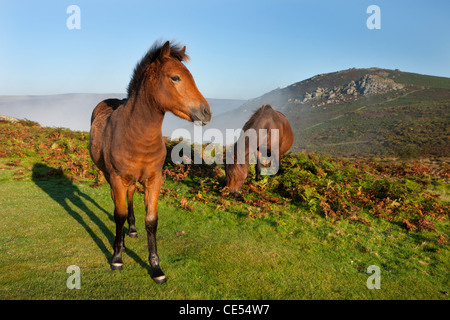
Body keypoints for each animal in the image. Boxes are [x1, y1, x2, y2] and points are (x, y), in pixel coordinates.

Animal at [90, 40, 214, 282]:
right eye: (175, 77)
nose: (206, 112)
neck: (137, 136)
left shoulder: (154, 180)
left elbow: (151, 220)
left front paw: (156, 267)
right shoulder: (117, 178)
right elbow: (118, 214)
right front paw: (117, 257)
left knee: (129, 197)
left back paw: (132, 229)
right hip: (110, 176)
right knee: (118, 203)